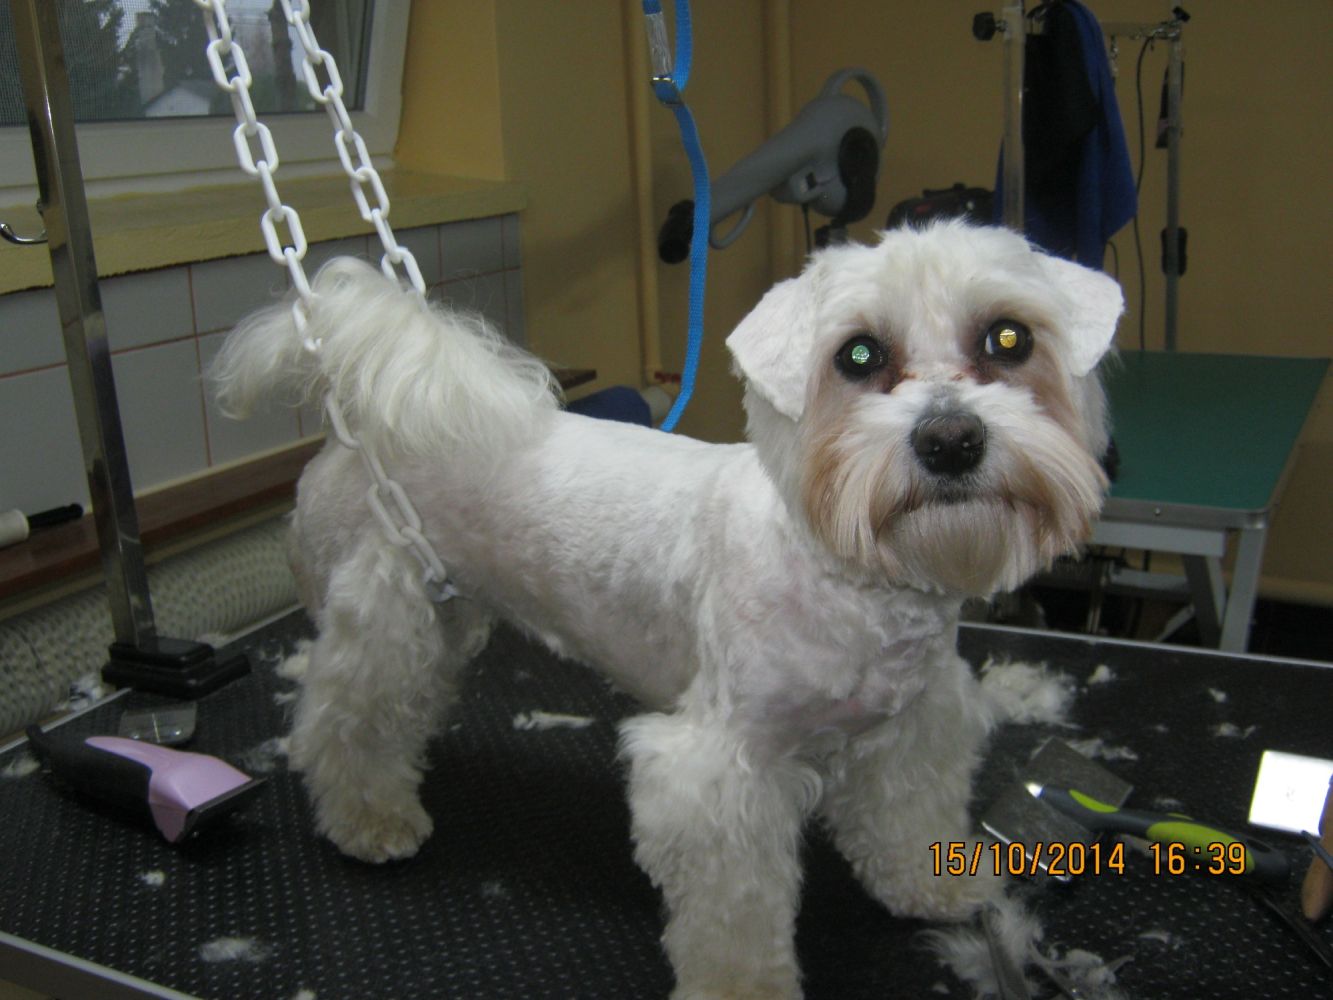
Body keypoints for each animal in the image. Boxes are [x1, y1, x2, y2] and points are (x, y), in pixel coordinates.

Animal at [211, 221, 1122, 999]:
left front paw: (931, 886)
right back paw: (370, 818)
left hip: (448, 615)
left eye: (1008, 339)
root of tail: (353, 426)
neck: (842, 575)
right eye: (858, 354)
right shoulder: (722, 771)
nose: (949, 440)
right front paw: (742, 987)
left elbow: (907, 817)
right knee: (340, 725)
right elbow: (734, 911)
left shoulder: (911, 725)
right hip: (383, 621)